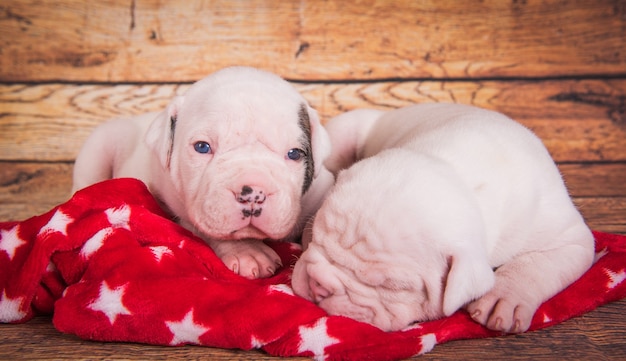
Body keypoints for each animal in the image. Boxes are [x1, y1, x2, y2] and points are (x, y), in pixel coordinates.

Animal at [73, 66, 334, 280]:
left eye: (294, 153)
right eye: (202, 147)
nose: (253, 193)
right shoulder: (176, 207)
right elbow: (203, 226)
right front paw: (247, 250)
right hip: (98, 146)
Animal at [290, 102, 592, 332]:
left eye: (392, 286)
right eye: (316, 237)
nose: (319, 285)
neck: (462, 173)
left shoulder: (570, 239)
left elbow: (535, 265)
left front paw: (505, 296)